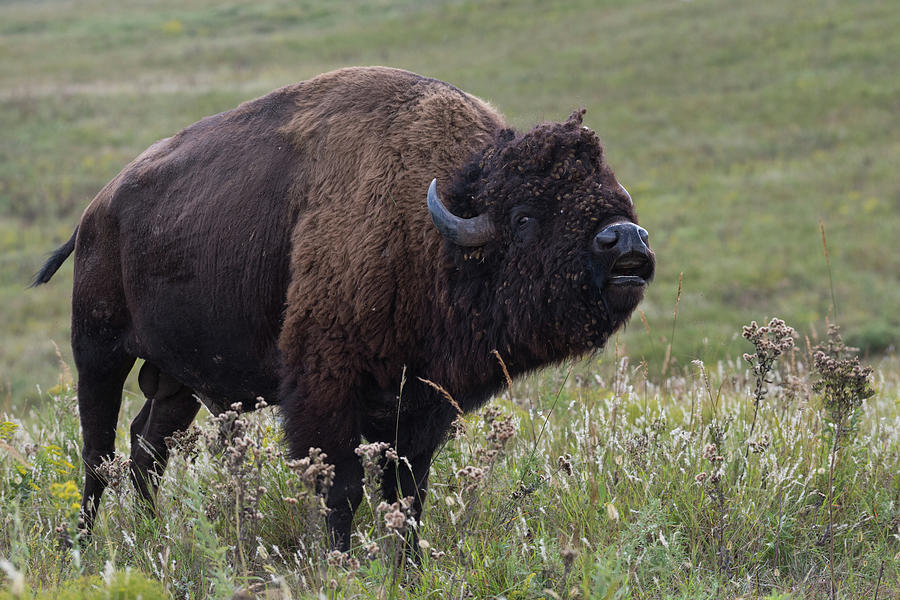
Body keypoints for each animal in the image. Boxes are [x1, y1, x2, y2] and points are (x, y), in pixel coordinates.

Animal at [33, 67, 652, 552]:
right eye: (525, 218)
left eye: (615, 196)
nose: (626, 240)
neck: (436, 229)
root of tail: (95, 213)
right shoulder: (327, 387)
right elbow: (343, 488)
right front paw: (341, 563)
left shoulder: (420, 405)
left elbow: (407, 494)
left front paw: (407, 567)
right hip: (99, 353)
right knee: (98, 453)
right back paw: (84, 545)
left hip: (177, 379)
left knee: (147, 447)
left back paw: (150, 534)